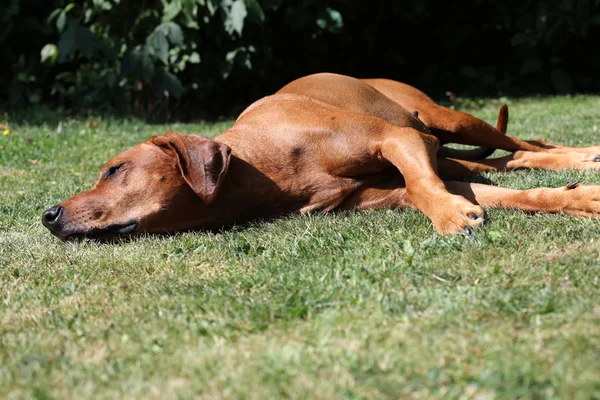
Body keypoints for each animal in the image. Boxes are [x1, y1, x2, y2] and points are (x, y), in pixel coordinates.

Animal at [41, 73, 600, 239]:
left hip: (441, 118)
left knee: (526, 144)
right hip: (450, 152)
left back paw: (586, 152)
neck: (264, 167)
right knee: (508, 161)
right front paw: (580, 200)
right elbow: (499, 194)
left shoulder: (397, 140)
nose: (47, 214)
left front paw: (447, 216)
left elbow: (424, 186)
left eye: (114, 169)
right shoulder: (398, 185)